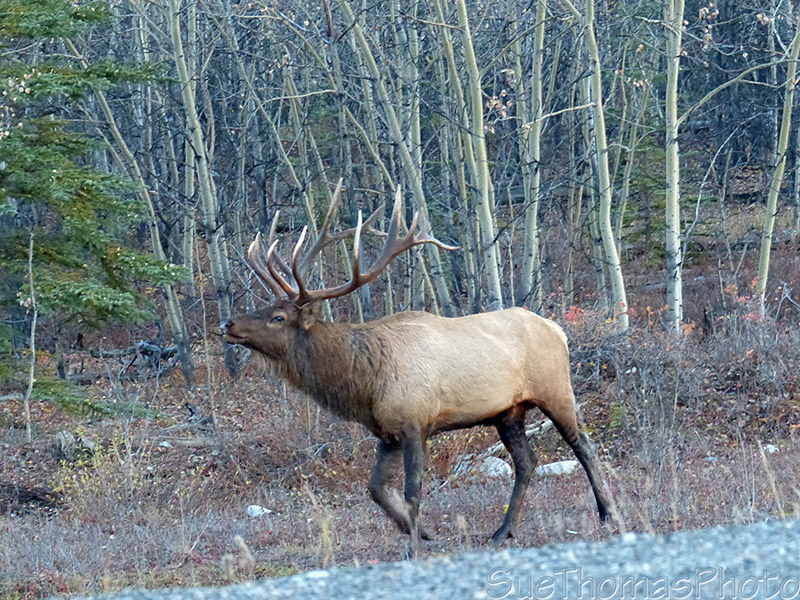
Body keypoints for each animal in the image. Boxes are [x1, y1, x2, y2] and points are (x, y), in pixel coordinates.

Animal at [222, 181, 611, 555]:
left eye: (278, 317)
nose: (228, 323)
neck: (365, 382)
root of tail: (558, 330)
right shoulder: (388, 432)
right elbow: (375, 489)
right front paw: (423, 532)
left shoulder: (415, 421)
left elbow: (412, 490)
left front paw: (415, 545)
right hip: (507, 411)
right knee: (527, 461)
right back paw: (503, 531)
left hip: (555, 389)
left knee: (583, 445)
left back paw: (606, 512)